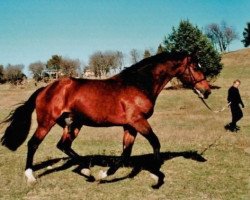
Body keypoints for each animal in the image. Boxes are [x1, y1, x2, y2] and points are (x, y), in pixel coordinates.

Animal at [0, 51, 211, 181]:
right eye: (196, 67)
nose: (207, 90)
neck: (138, 84)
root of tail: (45, 88)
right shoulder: (139, 121)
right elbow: (155, 143)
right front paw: (156, 174)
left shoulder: (130, 126)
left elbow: (126, 152)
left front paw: (105, 174)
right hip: (47, 122)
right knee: (33, 144)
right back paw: (30, 176)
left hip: (73, 124)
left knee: (64, 145)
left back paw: (86, 169)